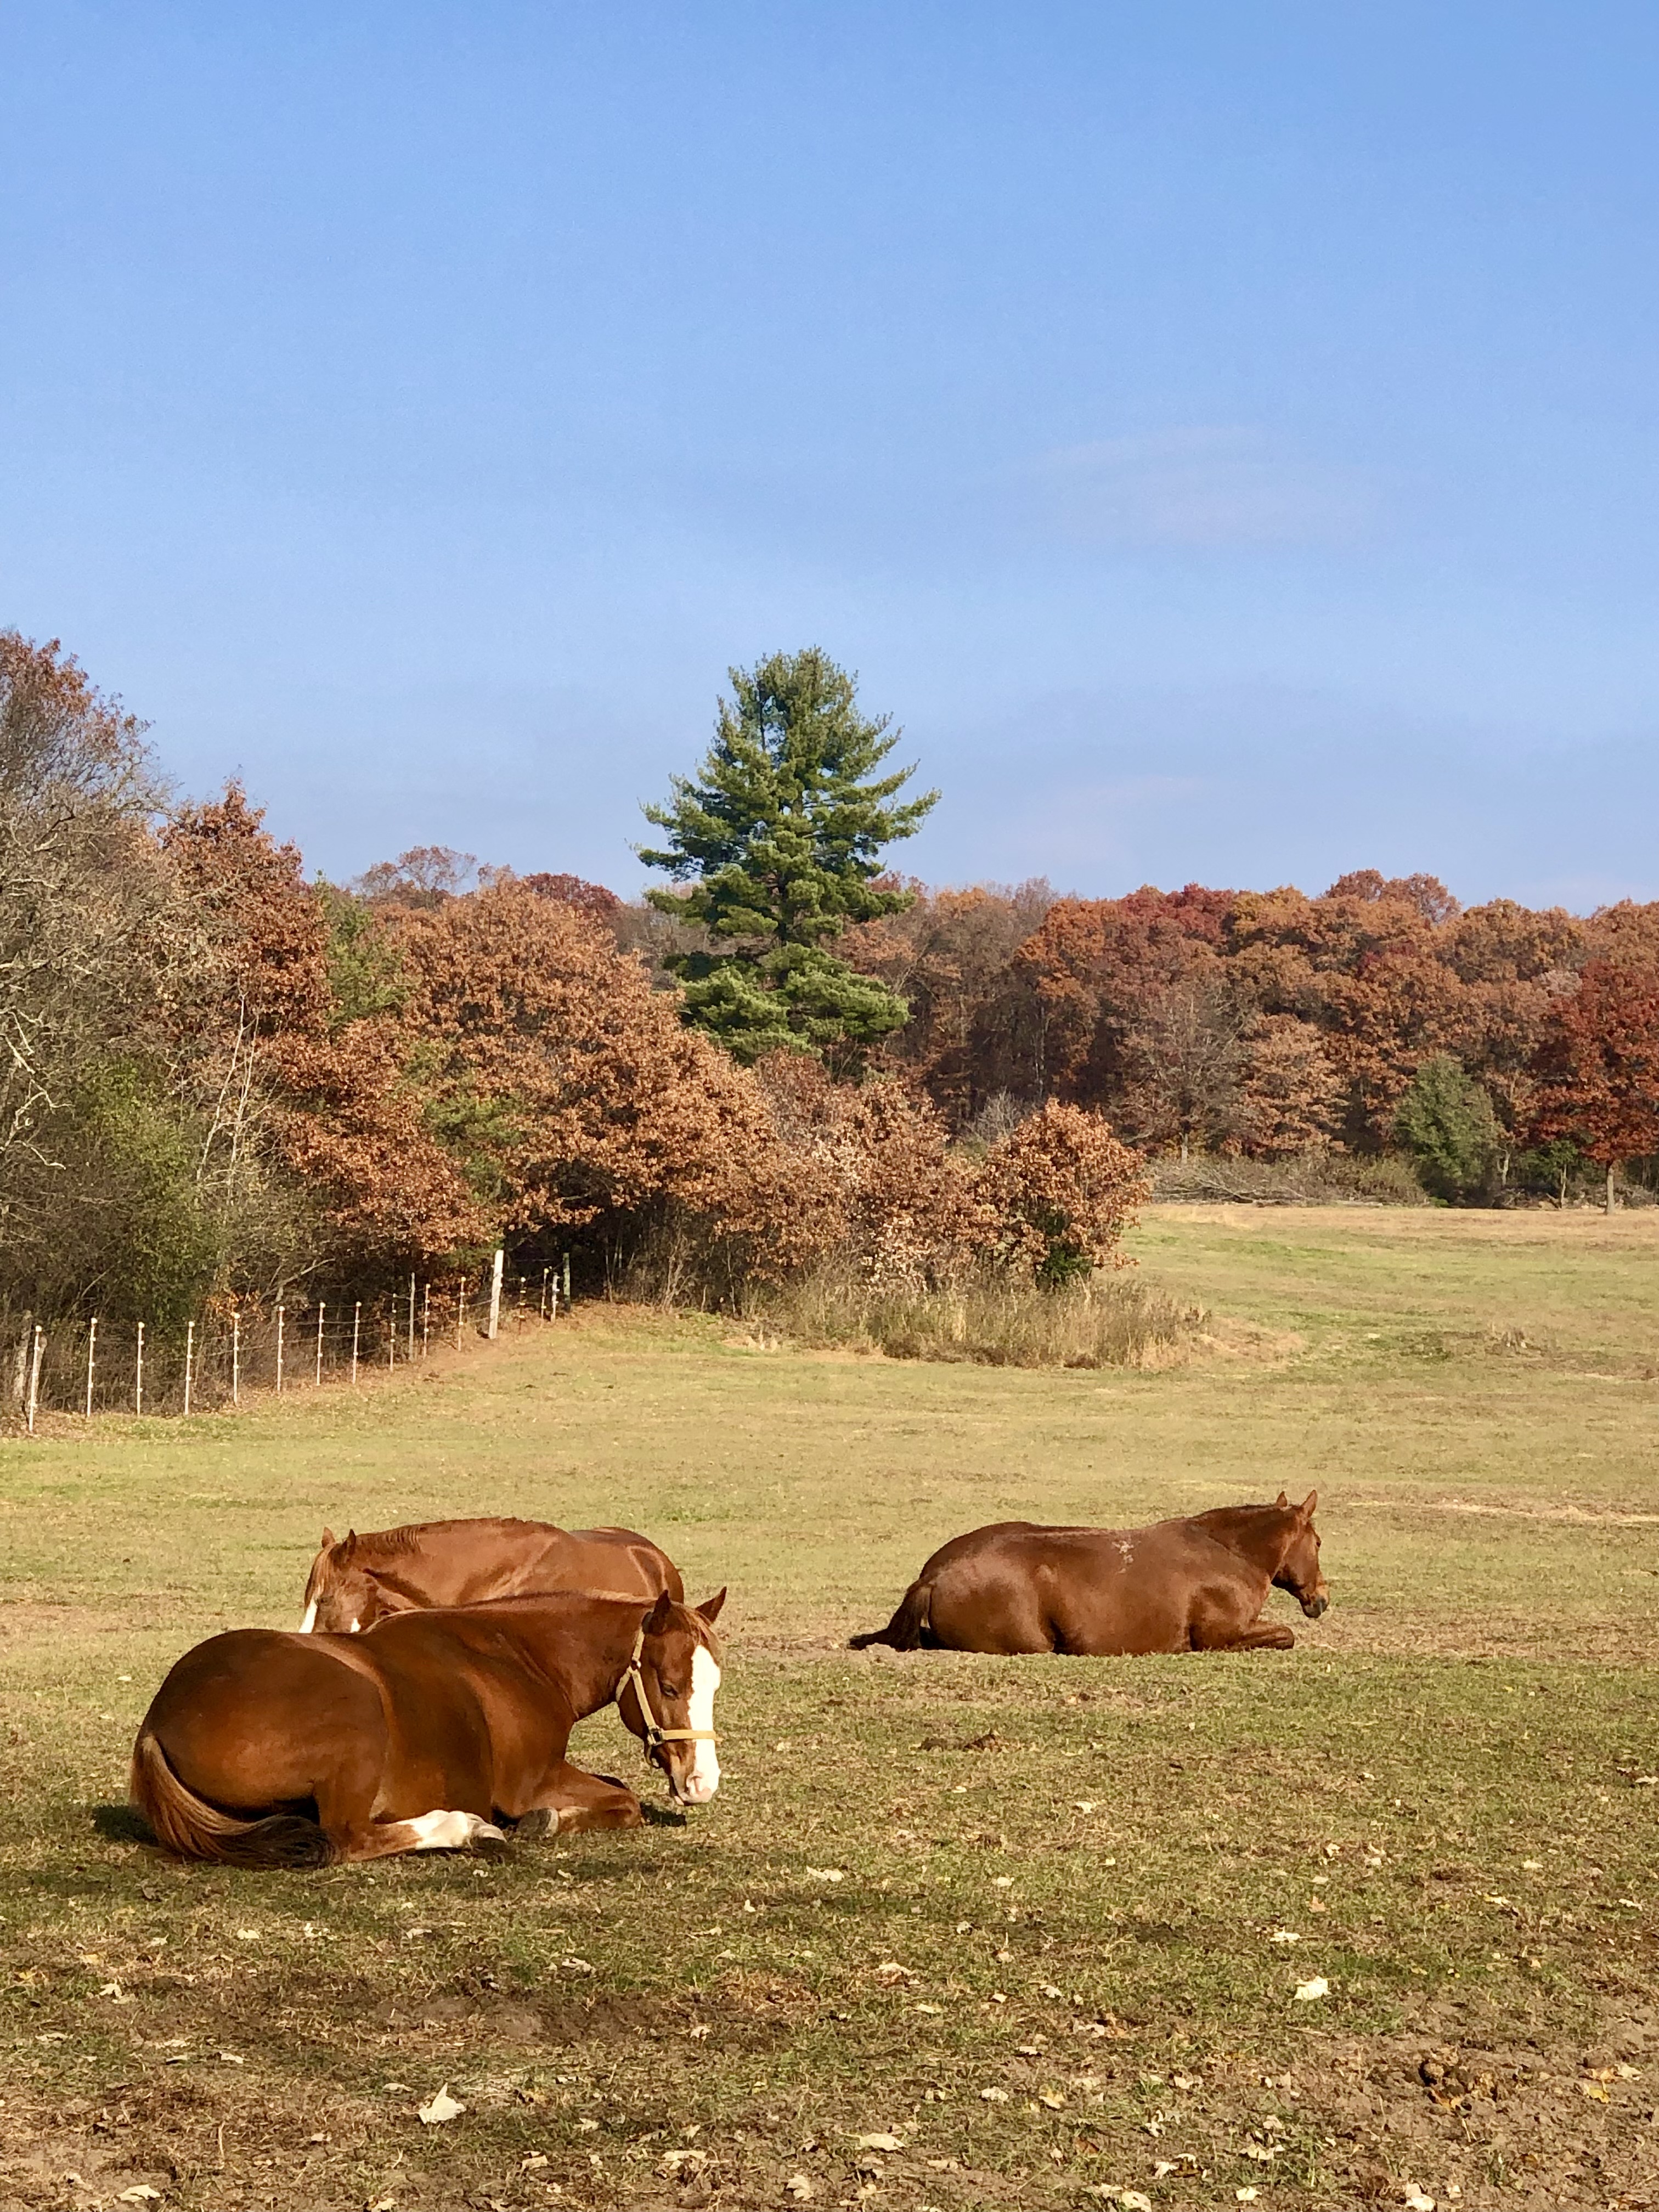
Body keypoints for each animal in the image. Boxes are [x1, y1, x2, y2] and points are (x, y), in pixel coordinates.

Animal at [130, 1587, 725, 1867]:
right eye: (670, 1687)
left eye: (716, 1686)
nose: (703, 1783)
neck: (517, 1656)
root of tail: (161, 1718)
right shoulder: (532, 1779)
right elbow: (625, 1802)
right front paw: (547, 1821)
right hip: (357, 1721)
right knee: (350, 1838)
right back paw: (464, 1828)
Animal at [849, 1492, 1329, 1656]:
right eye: (1320, 1542)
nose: (1321, 1599)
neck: (1229, 1553)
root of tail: (934, 1574)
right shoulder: (1221, 1637)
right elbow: (1286, 1635)